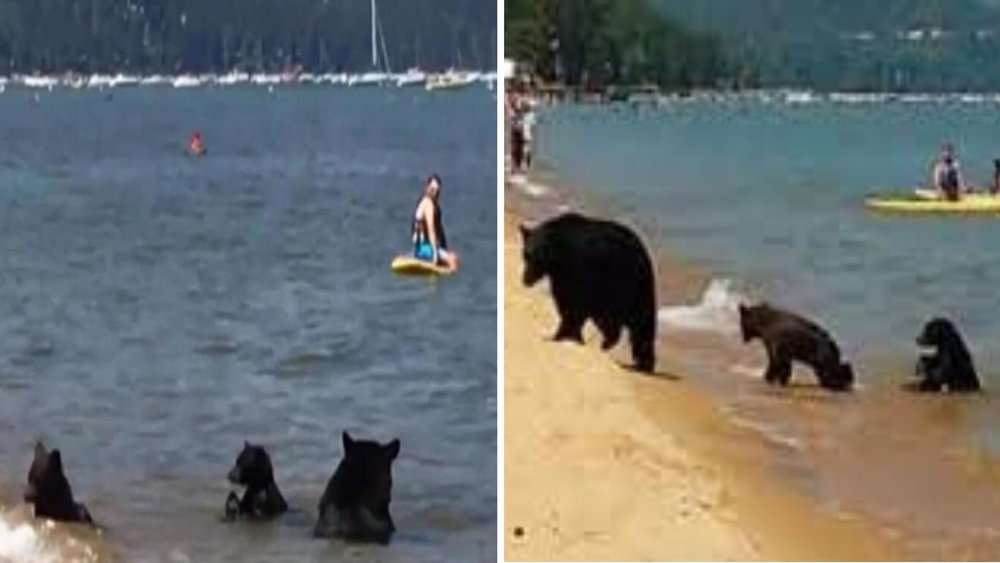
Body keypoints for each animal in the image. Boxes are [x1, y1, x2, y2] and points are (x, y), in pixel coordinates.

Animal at [519, 213, 657, 373]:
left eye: (538, 257)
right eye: (526, 255)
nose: (526, 280)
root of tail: (645, 254)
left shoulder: (580, 268)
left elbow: (574, 307)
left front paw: (560, 336)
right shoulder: (562, 277)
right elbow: (565, 302)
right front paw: (570, 336)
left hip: (630, 286)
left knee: (642, 324)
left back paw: (643, 363)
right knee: (611, 323)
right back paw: (608, 345)